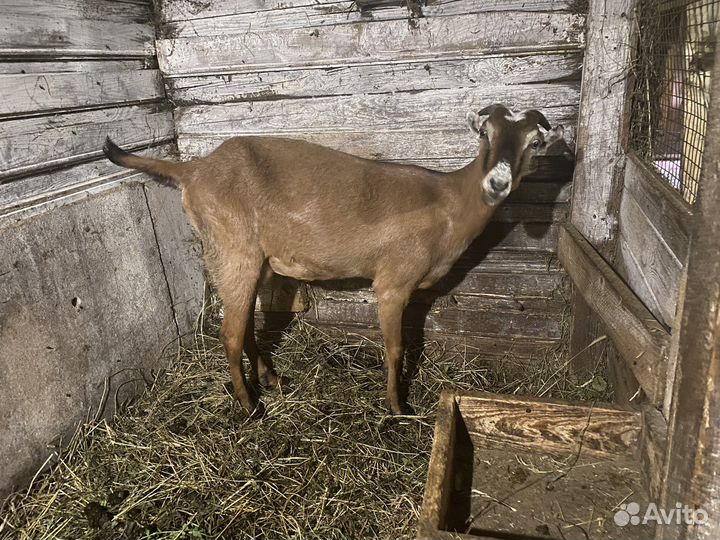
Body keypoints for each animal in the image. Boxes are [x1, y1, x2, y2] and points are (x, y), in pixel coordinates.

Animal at [103, 103, 567, 416]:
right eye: (485, 134)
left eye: (534, 143)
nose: (498, 183)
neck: (450, 200)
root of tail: (194, 170)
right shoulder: (393, 283)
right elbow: (396, 347)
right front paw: (398, 407)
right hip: (235, 250)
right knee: (229, 334)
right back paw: (250, 406)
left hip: (257, 261)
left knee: (246, 326)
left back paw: (271, 379)